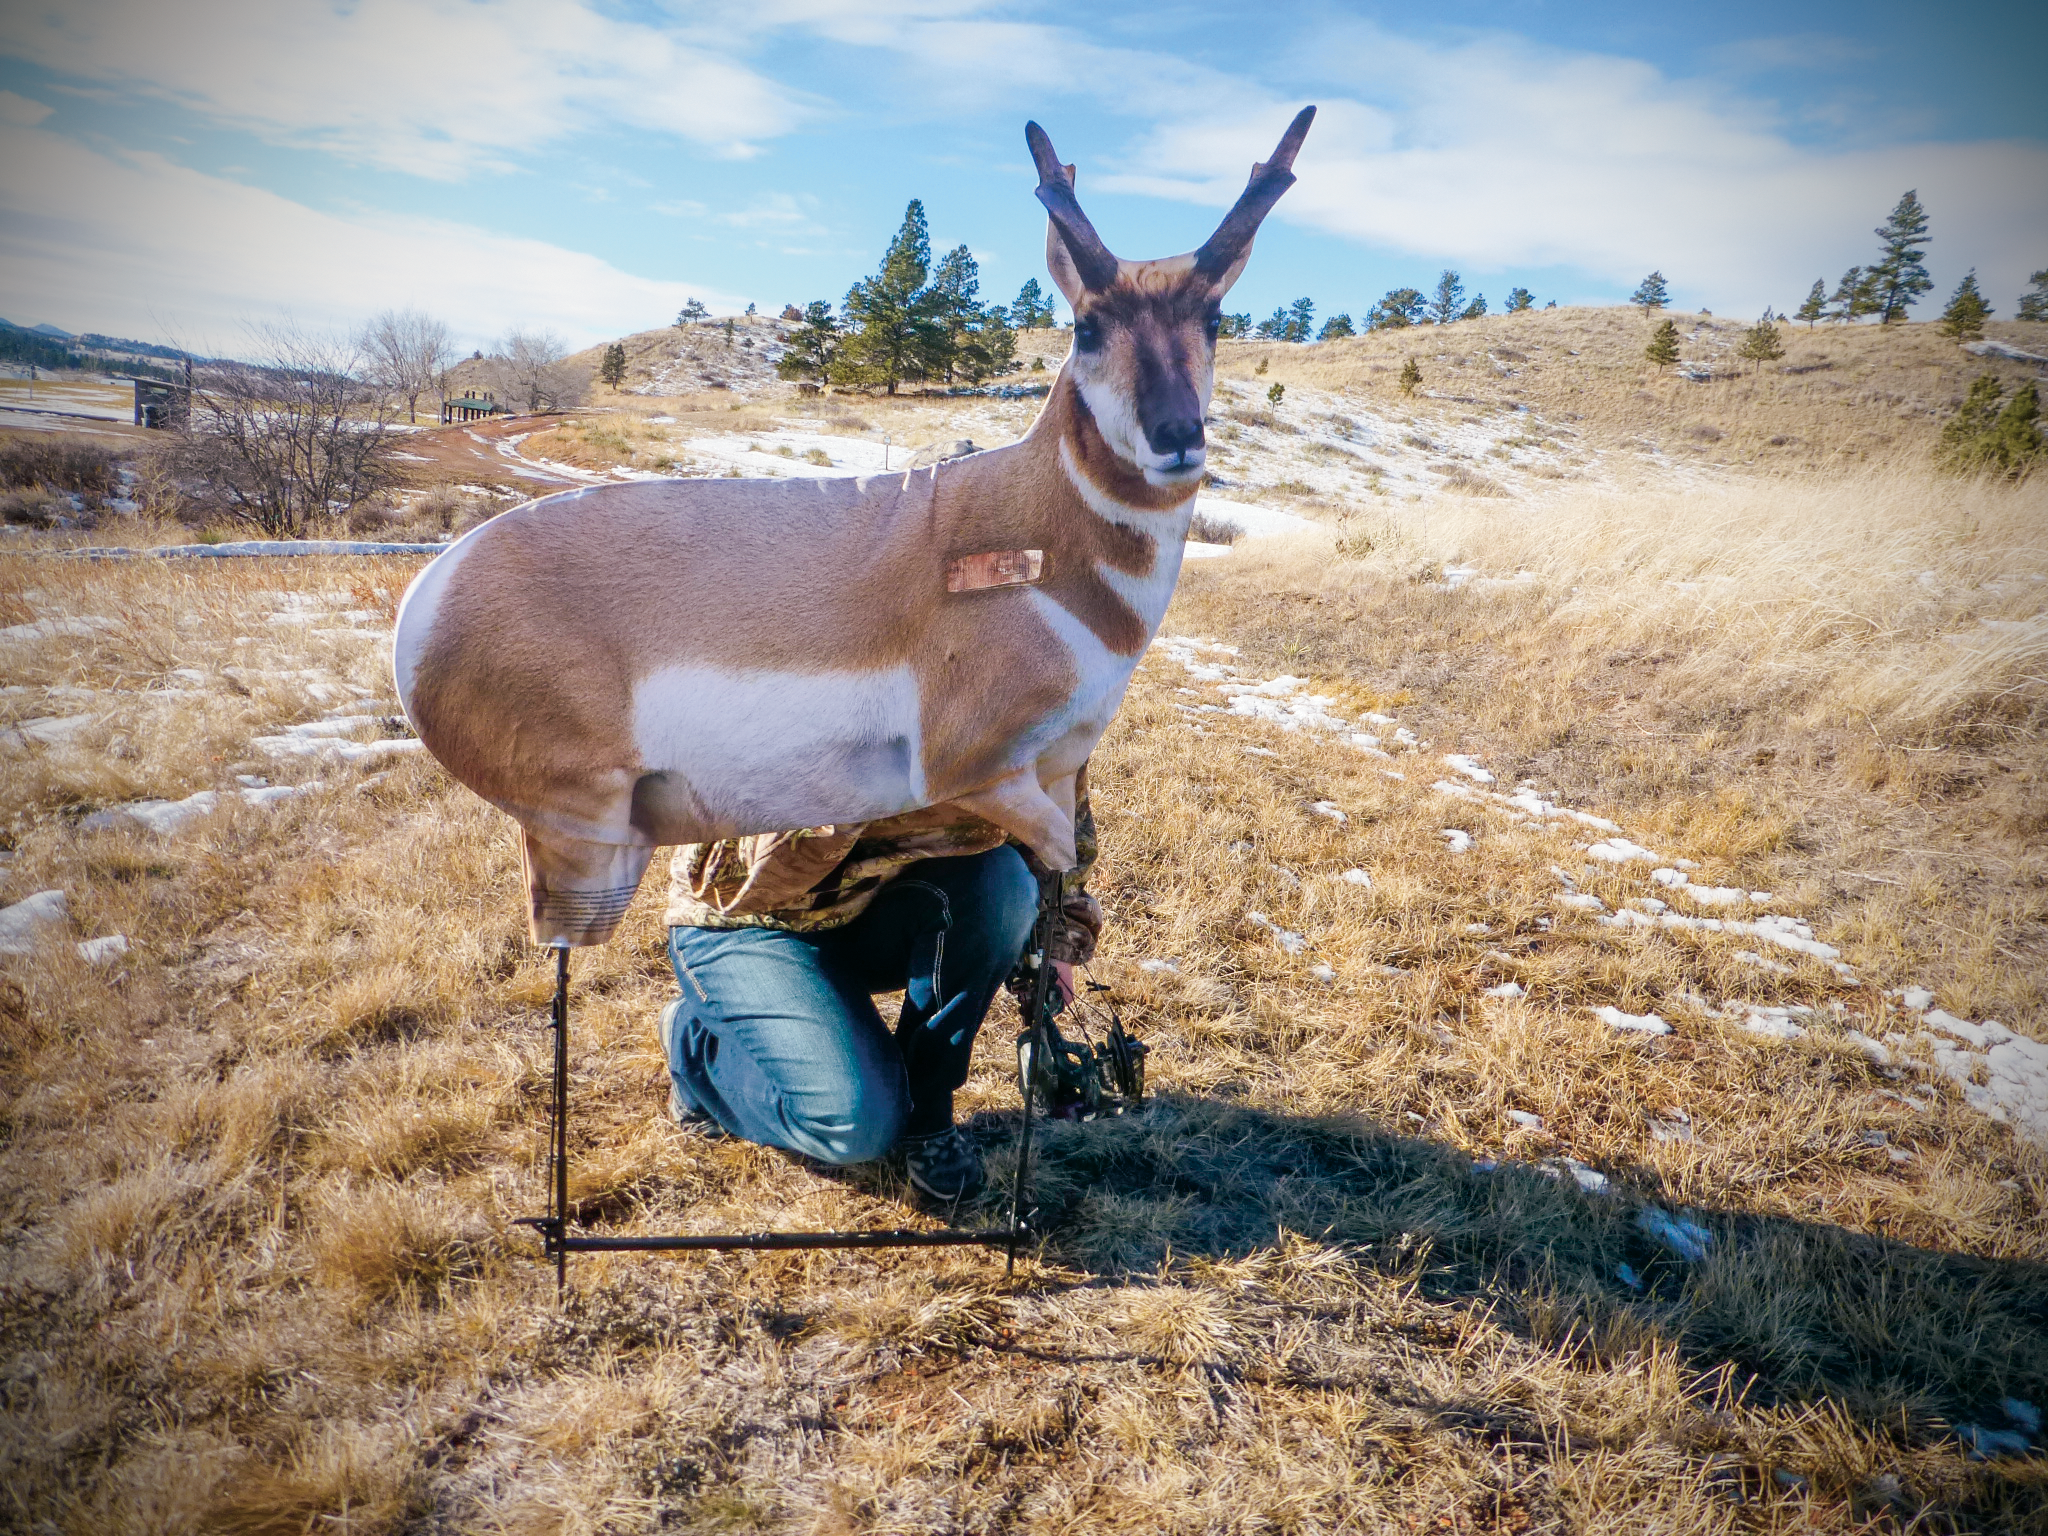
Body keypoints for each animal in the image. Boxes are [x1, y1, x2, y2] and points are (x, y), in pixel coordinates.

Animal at [394, 107, 1317, 946]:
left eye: (1215, 319)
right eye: (1087, 325)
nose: (1178, 436)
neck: (1037, 540)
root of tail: (430, 597)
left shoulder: (1062, 767)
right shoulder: (975, 772)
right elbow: (1045, 849)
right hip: (587, 838)